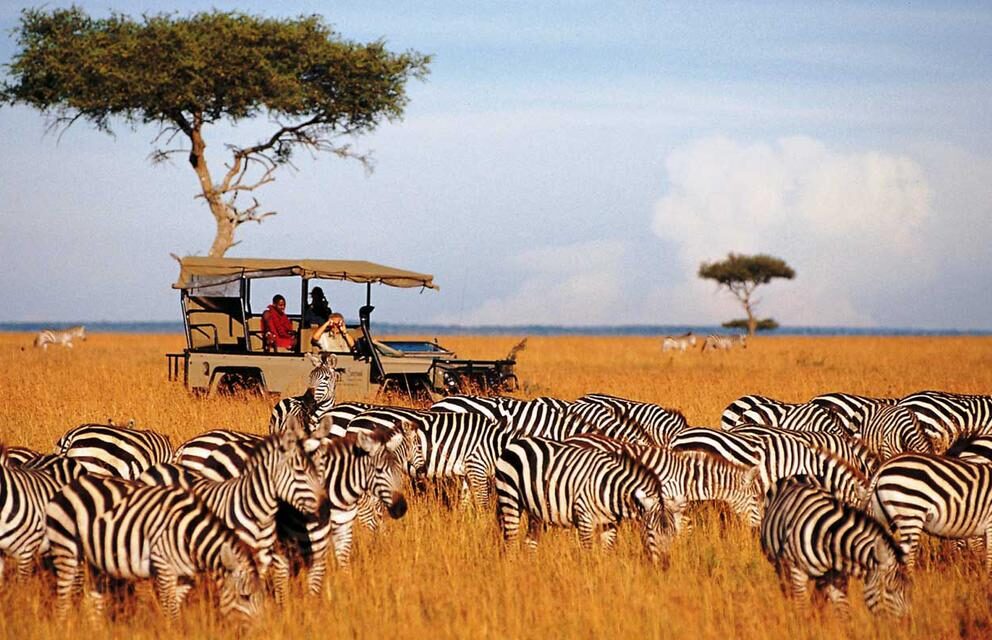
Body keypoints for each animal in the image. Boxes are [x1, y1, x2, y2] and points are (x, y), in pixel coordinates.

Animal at [45, 475, 263, 621]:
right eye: (244, 597)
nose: (261, 630)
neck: (189, 536)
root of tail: (70, 485)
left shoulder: (185, 577)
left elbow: (174, 607)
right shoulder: (163, 567)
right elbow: (171, 612)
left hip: (94, 560)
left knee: (93, 600)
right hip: (66, 548)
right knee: (63, 599)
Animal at [495, 437, 676, 565]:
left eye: (672, 532)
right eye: (650, 530)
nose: (665, 565)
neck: (610, 488)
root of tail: (516, 442)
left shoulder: (609, 524)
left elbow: (605, 553)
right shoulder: (584, 519)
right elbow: (588, 554)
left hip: (535, 509)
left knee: (530, 542)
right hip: (509, 498)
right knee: (511, 542)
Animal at [760, 476, 909, 618]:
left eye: (907, 589)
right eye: (889, 589)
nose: (906, 622)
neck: (827, 539)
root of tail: (798, 475)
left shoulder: (836, 578)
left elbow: (843, 612)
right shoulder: (797, 571)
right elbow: (801, 608)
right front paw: (802, 625)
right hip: (779, 565)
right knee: (787, 590)